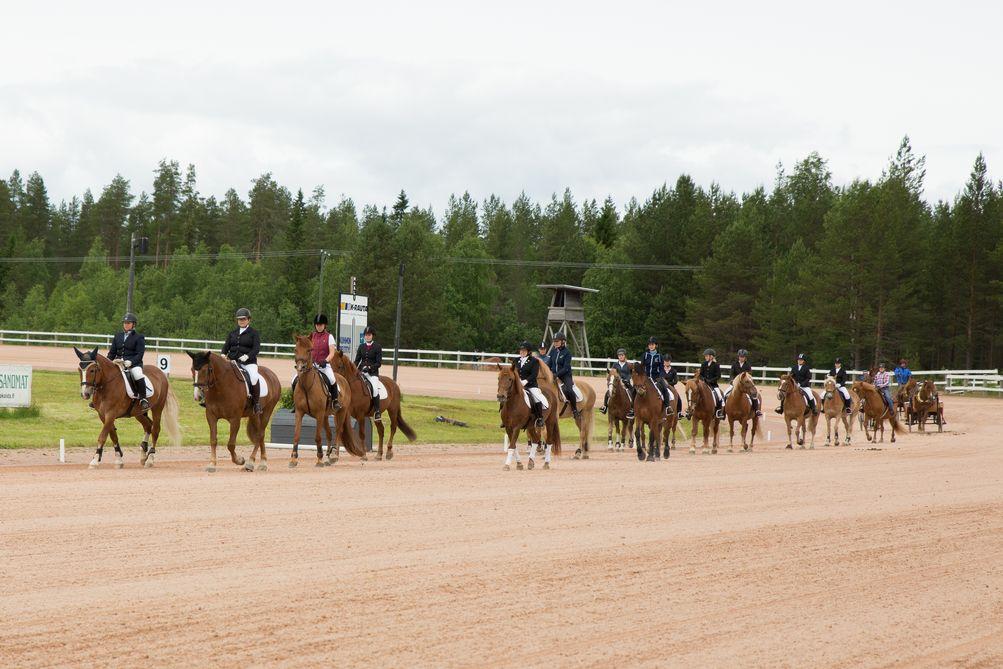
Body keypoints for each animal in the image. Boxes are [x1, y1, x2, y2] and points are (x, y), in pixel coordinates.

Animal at [288, 332, 367, 465]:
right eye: (295, 349)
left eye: (310, 350)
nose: (300, 367)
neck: (307, 386)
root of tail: (343, 379)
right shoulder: (299, 412)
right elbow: (296, 435)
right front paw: (293, 458)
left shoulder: (319, 414)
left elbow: (318, 437)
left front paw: (319, 458)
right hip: (326, 416)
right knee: (330, 434)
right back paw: (329, 455)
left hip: (340, 412)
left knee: (339, 431)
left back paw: (335, 455)